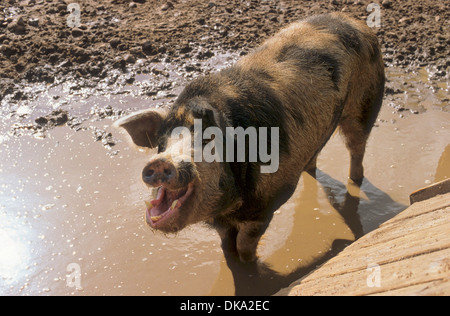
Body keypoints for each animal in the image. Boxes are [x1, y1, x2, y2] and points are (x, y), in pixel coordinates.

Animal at [114, 12, 384, 264]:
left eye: (207, 141)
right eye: (162, 143)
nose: (161, 162)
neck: (229, 205)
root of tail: (355, 21)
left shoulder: (265, 205)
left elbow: (245, 243)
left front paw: (251, 266)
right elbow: (226, 244)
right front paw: (232, 261)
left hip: (365, 103)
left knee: (357, 146)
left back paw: (355, 182)